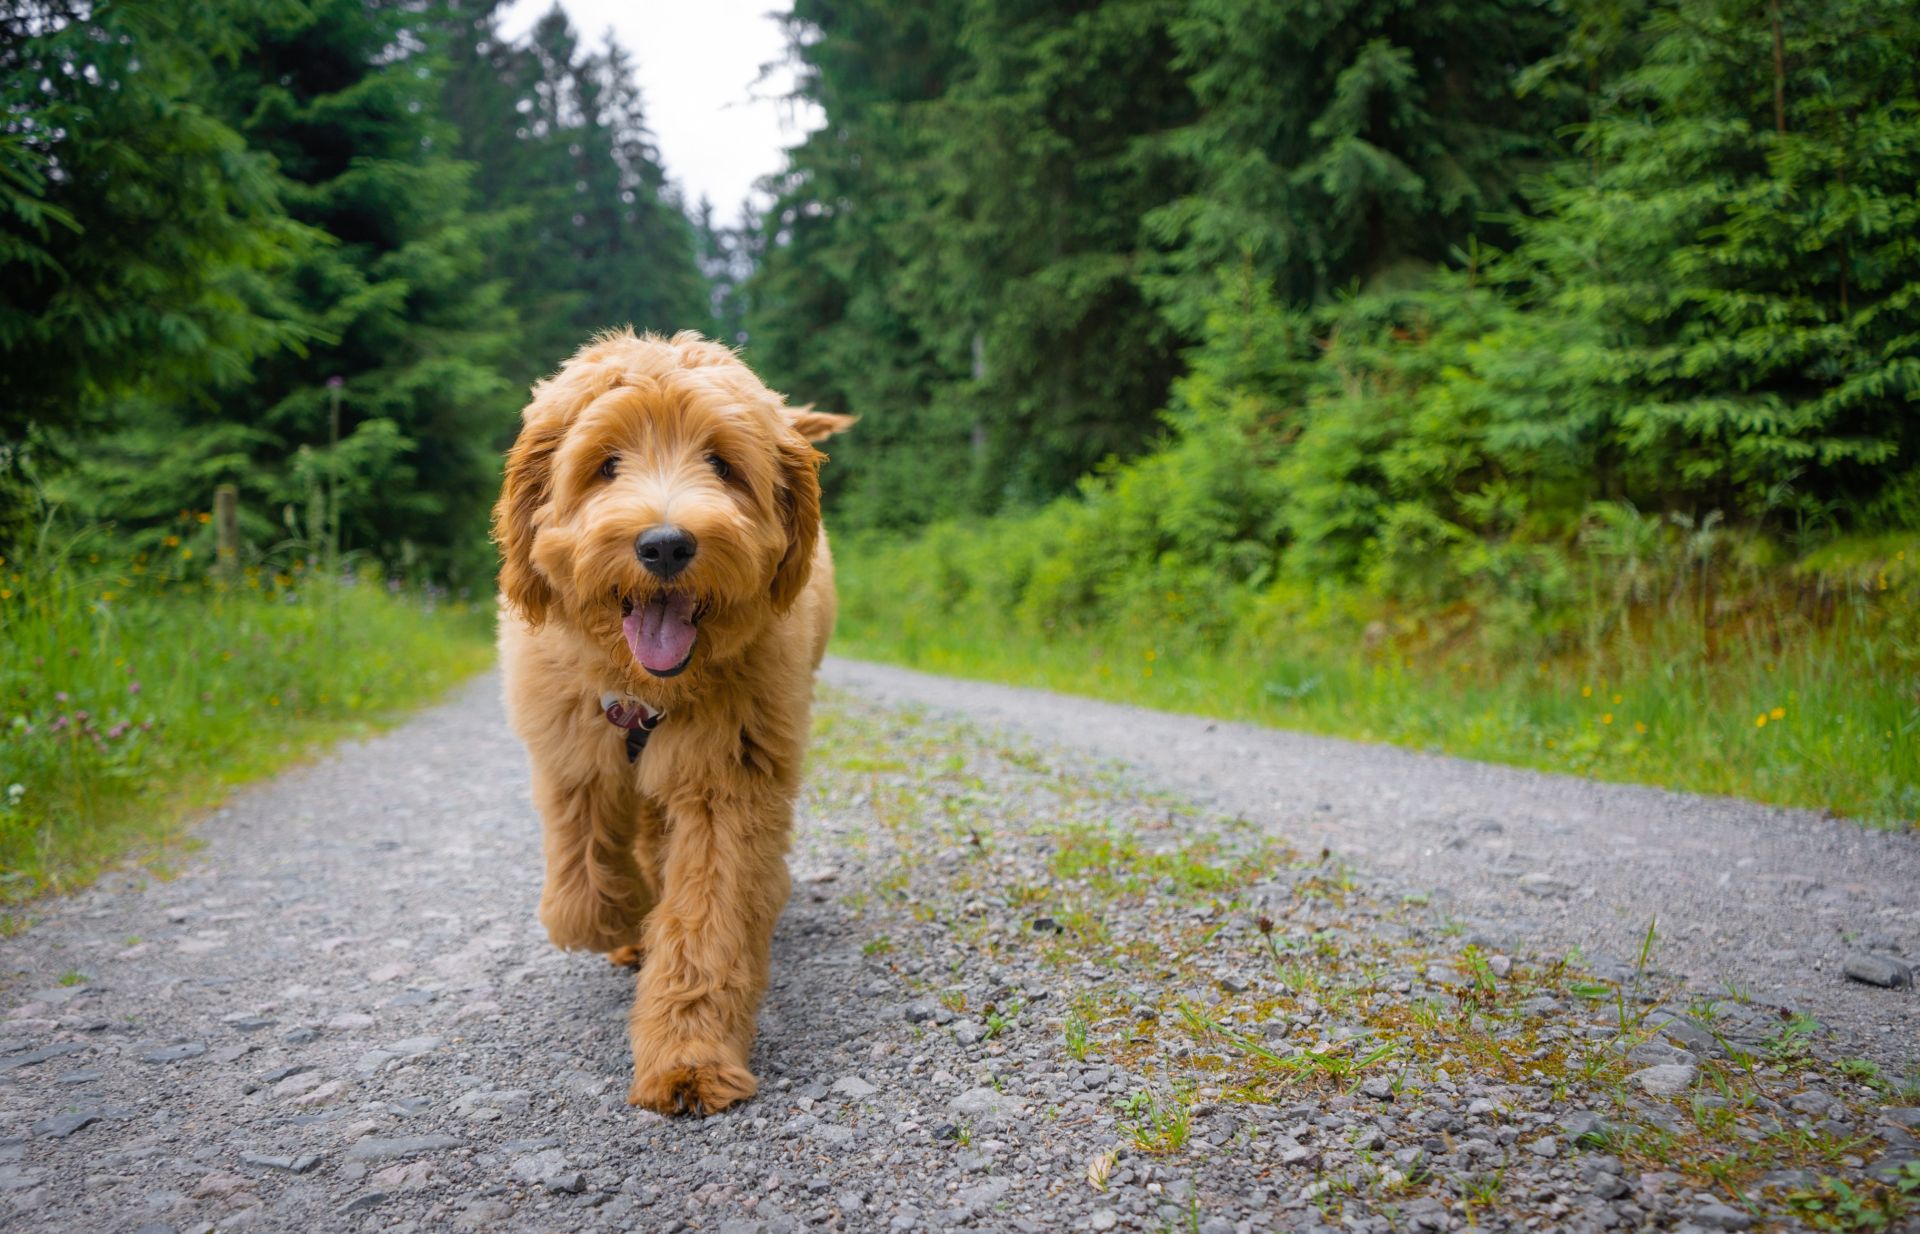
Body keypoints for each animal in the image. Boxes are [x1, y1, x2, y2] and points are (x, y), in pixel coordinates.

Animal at [495, 330, 848, 1120]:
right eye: (605, 465)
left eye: (721, 463)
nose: (664, 545)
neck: (647, 693)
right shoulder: (572, 756)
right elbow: (580, 893)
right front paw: (627, 922)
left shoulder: (730, 781)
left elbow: (708, 915)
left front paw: (689, 1058)